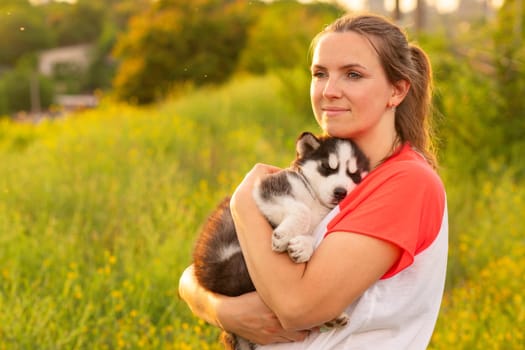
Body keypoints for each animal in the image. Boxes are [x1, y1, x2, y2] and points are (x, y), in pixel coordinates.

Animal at [191, 132, 368, 350]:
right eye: (327, 167)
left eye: (355, 174)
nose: (340, 192)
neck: (316, 200)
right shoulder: (268, 189)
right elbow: (302, 211)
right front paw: (284, 236)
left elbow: (311, 232)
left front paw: (303, 247)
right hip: (237, 267)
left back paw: (333, 319)